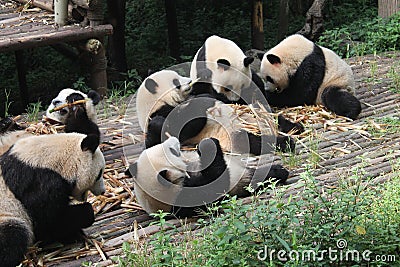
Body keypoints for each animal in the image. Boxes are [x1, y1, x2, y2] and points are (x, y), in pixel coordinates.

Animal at [0, 133, 105, 266]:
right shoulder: (40, 183)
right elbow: (49, 220)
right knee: (13, 237)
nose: (103, 191)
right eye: (99, 173)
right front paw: (86, 214)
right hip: (7, 216)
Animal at [128, 137, 288, 219]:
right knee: (255, 180)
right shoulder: (187, 197)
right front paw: (208, 145)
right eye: (172, 151)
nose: (174, 138)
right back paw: (279, 173)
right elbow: (216, 186)